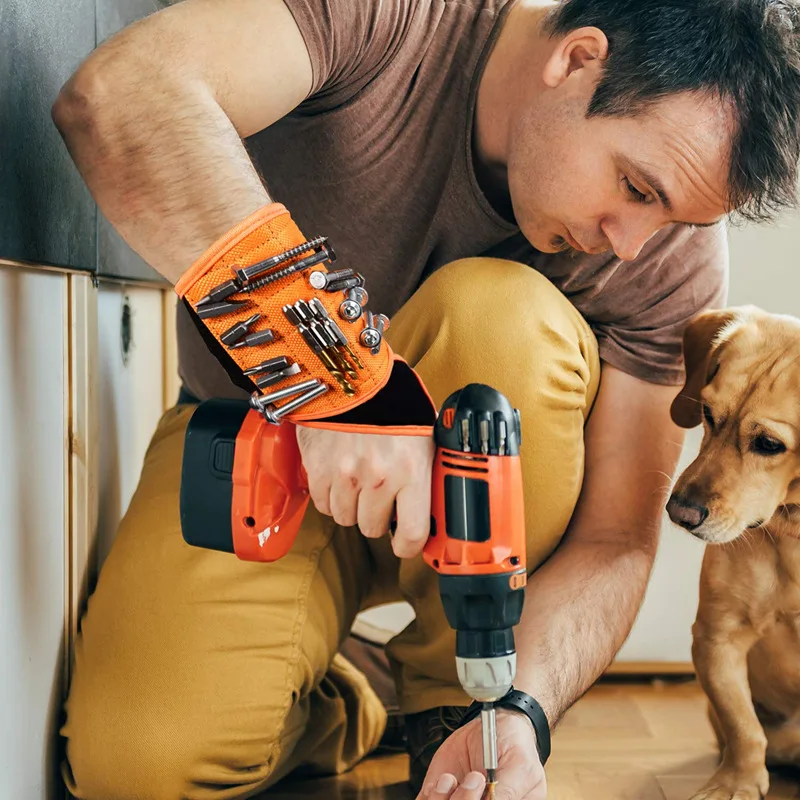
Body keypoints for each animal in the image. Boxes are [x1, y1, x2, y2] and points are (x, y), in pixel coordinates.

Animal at [664, 306, 800, 800]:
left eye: (769, 444)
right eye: (707, 413)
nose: (679, 512)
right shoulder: (716, 638)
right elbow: (743, 728)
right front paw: (735, 782)